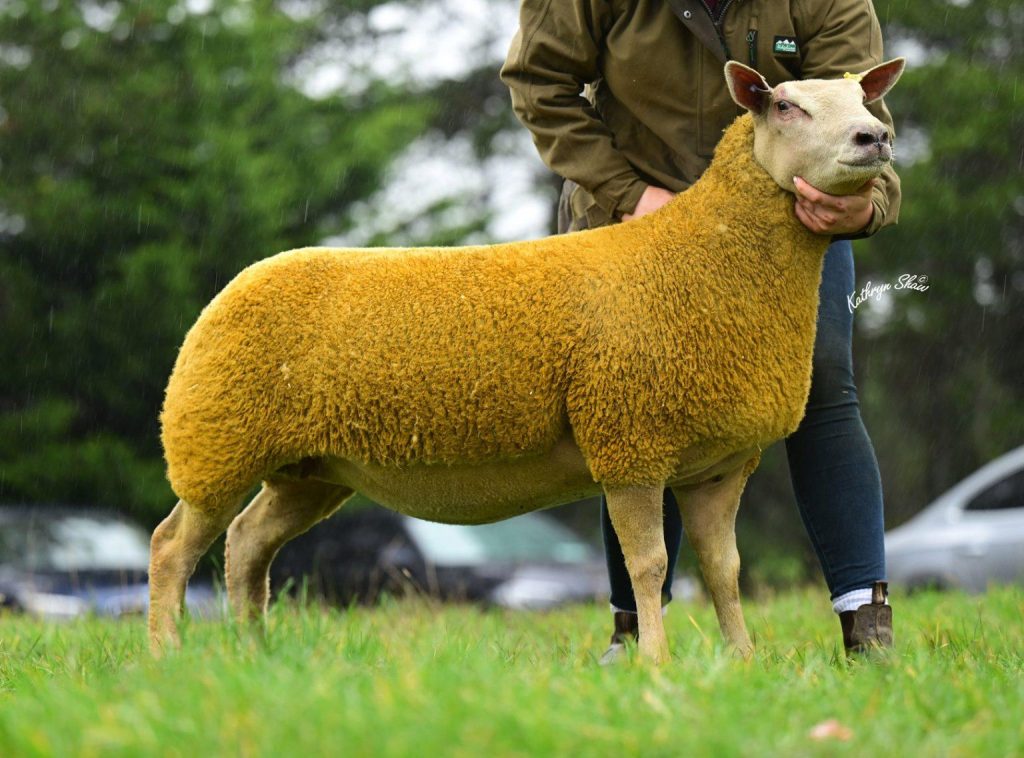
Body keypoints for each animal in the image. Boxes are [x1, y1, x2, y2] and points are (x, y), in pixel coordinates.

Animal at [150, 59, 905, 662]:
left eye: (863, 100)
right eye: (785, 106)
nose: (876, 138)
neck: (698, 257)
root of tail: (232, 288)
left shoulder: (715, 465)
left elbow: (724, 570)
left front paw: (742, 662)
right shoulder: (630, 444)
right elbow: (649, 564)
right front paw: (656, 663)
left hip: (308, 468)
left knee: (247, 544)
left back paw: (253, 653)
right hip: (216, 442)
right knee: (171, 546)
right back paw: (167, 657)